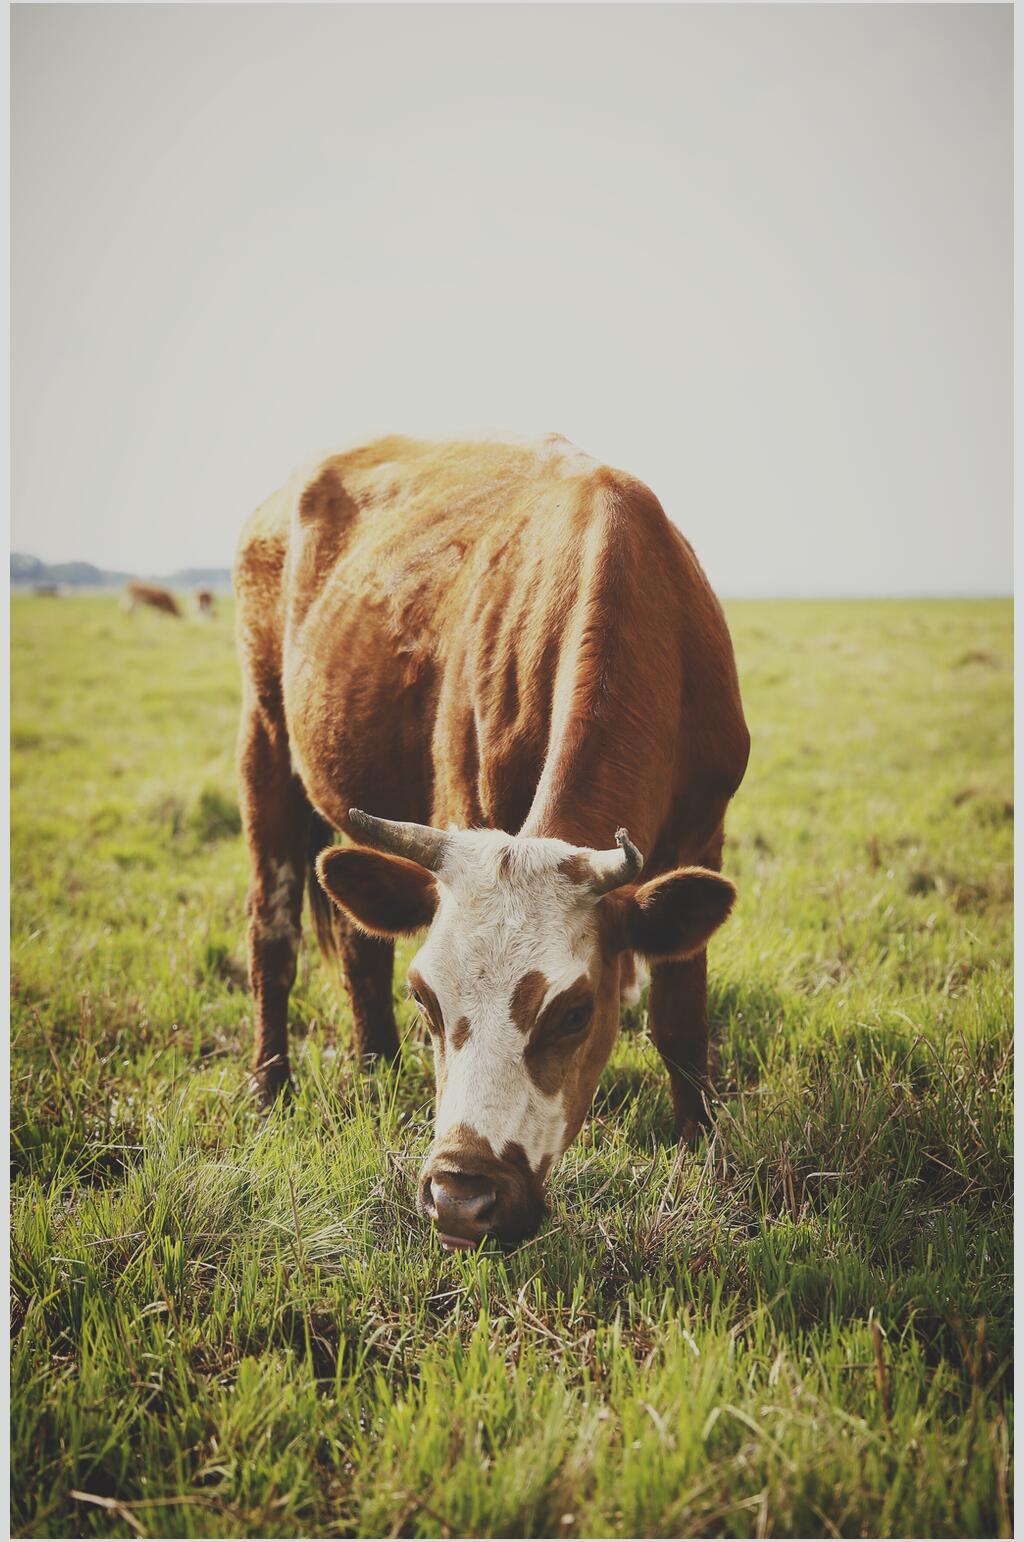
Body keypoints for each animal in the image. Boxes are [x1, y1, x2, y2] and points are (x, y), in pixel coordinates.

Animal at [235, 434, 749, 1252]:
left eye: (574, 1013)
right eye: (427, 999)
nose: (460, 1198)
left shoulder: (704, 832)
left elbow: (681, 1021)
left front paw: (701, 1147)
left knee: (357, 941)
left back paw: (376, 1069)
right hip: (264, 735)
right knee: (273, 932)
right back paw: (268, 1087)